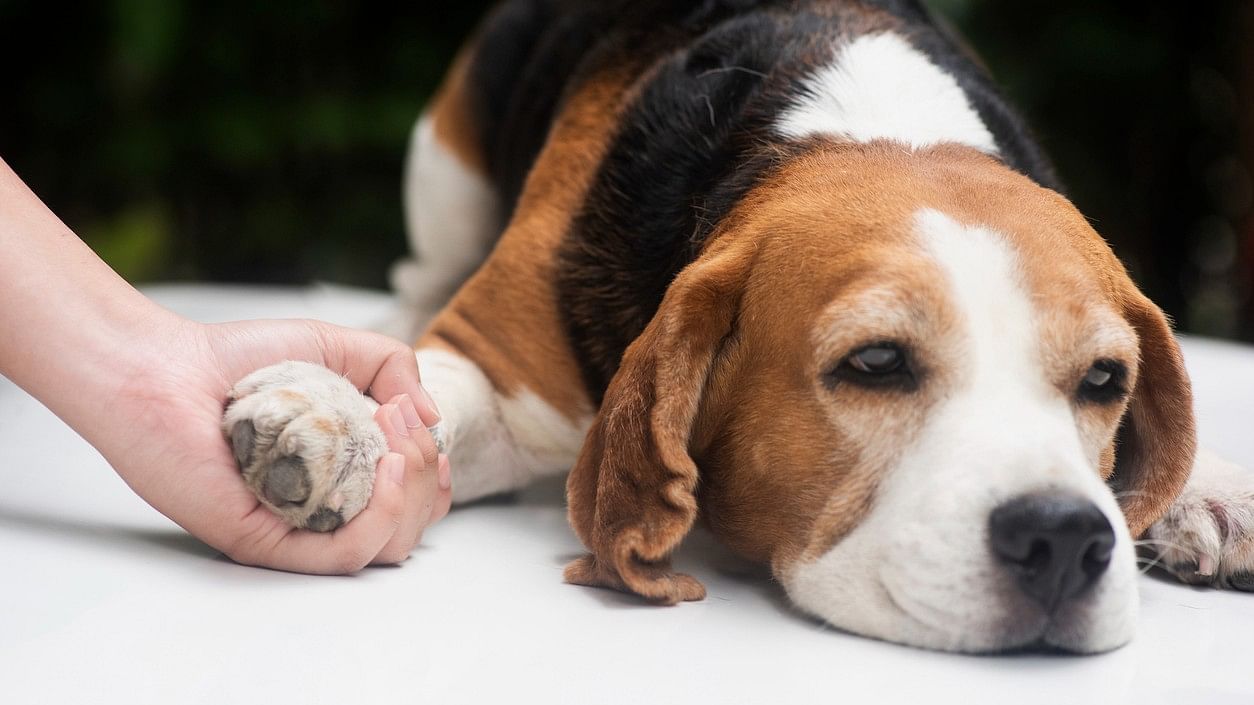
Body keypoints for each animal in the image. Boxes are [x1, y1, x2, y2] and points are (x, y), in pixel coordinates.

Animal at [220, 0, 1254, 652]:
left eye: (1105, 381)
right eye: (876, 362)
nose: (1065, 541)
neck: (863, 126)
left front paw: (1207, 486)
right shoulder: (500, 366)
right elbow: (427, 393)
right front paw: (334, 416)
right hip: (446, 160)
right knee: (418, 275)